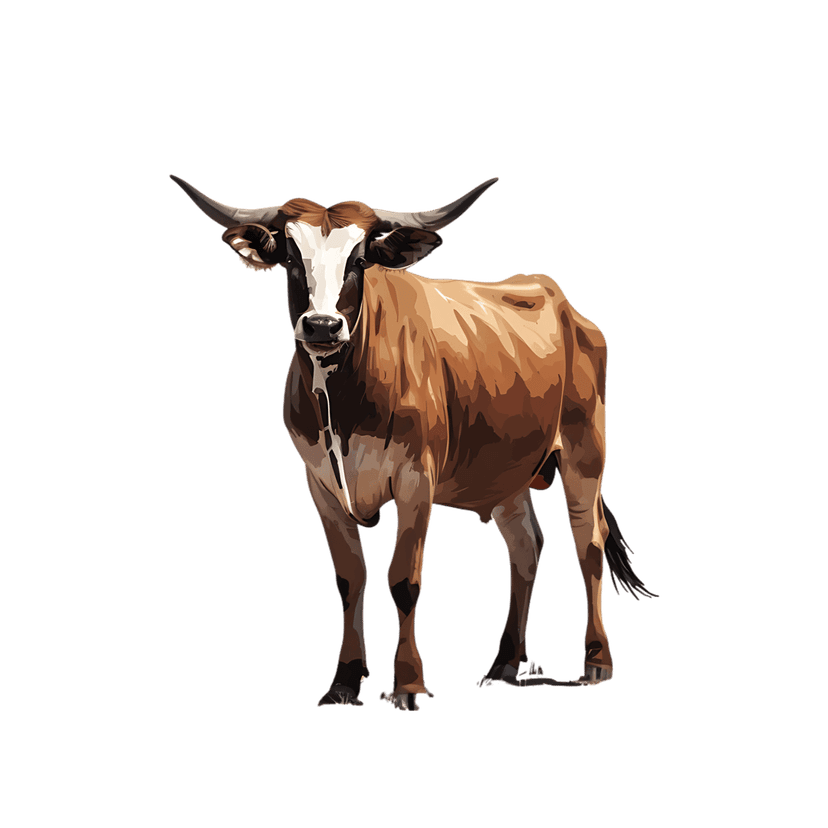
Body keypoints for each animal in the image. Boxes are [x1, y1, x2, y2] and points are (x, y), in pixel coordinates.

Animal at [169, 173, 659, 713]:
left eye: (360, 260)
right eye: (292, 258)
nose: (322, 326)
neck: (340, 400)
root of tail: (558, 299)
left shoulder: (415, 477)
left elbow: (404, 581)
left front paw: (408, 684)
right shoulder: (320, 484)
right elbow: (349, 579)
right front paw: (344, 681)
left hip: (583, 450)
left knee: (588, 545)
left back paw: (597, 660)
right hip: (506, 472)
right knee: (526, 548)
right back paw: (505, 663)